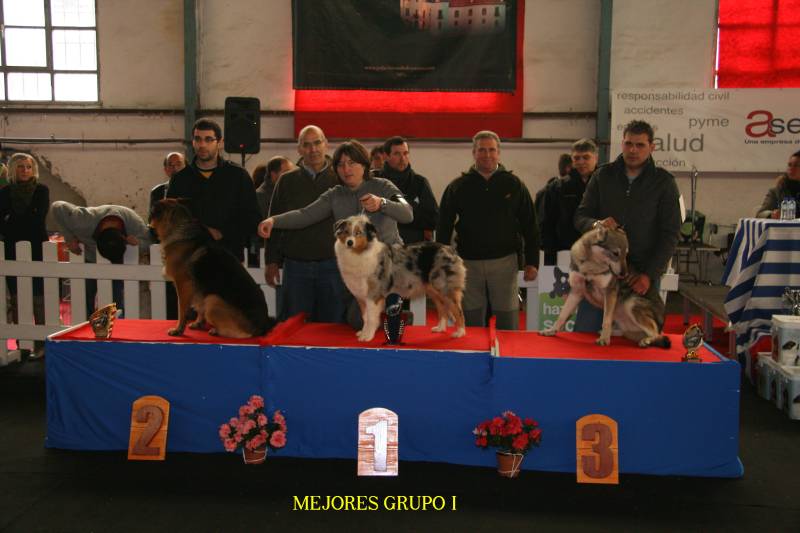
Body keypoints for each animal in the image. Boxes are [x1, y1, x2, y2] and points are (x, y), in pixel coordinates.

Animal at [149, 198, 275, 338]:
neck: (179, 227)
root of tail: (262, 327)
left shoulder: (183, 286)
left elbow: (182, 310)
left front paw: (178, 330)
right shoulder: (198, 291)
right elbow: (199, 307)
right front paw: (198, 323)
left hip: (212, 300)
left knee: (242, 334)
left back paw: (217, 331)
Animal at [334, 215, 466, 342]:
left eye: (358, 233)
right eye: (346, 232)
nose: (349, 242)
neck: (359, 253)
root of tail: (450, 249)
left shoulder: (373, 294)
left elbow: (371, 318)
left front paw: (368, 336)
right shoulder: (361, 296)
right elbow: (365, 317)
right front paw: (363, 333)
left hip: (444, 287)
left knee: (457, 310)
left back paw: (460, 333)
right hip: (433, 290)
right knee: (442, 307)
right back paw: (440, 328)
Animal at [540, 225, 670, 348]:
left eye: (626, 254)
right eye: (616, 253)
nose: (624, 275)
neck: (591, 265)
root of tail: (663, 321)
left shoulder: (609, 292)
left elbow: (606, 321)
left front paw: (604, 340)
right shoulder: (576, 291)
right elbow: (562, 315)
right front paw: (551, 330)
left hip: (631, 304)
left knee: (658, 335)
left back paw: (646, 341)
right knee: (627, 333)